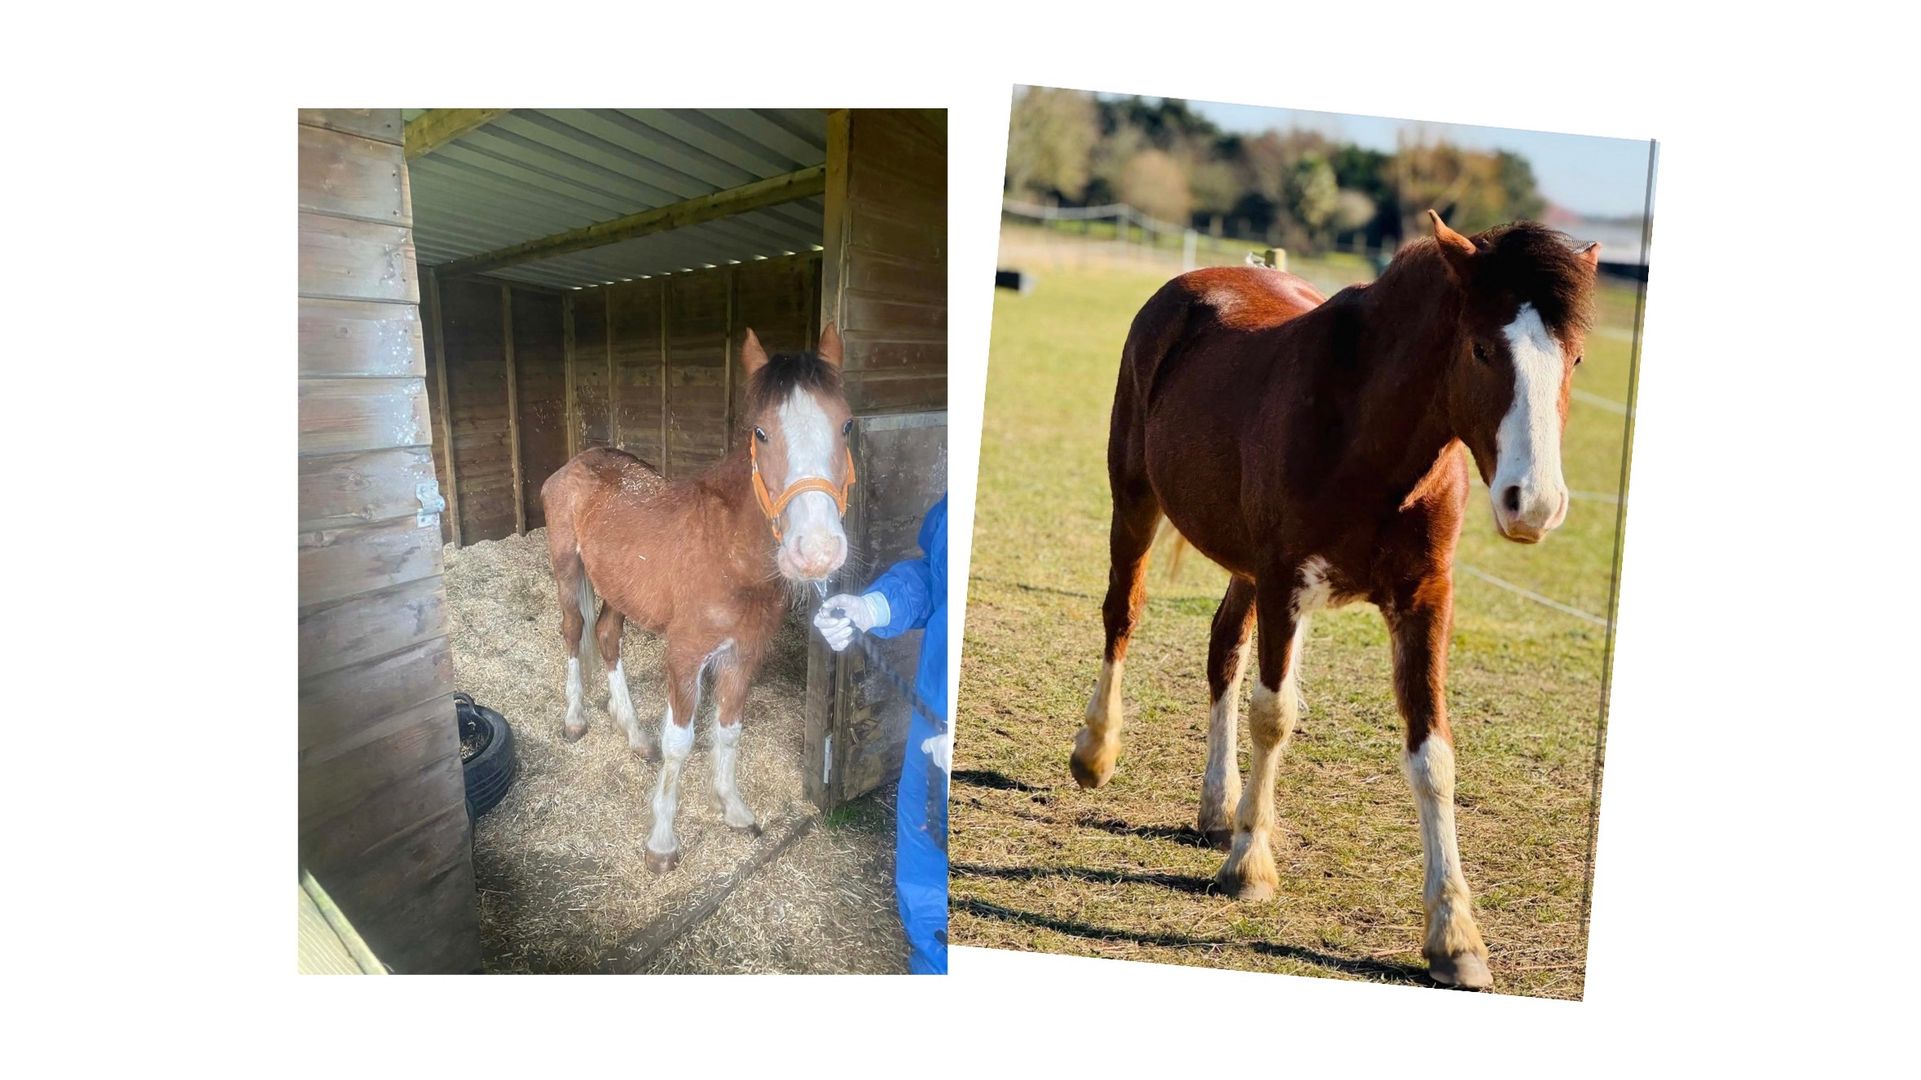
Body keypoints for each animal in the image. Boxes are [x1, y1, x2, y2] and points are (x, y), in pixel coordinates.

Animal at [540, 325, 856, 872]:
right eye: (761, 432)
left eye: (846, 427)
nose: (816, 551)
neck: (729, 555)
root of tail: (578, 461)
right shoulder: (686, 656)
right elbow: (681, 742)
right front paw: (662, 843)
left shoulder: (744, 654)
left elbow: (728, 731)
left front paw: (733, 809)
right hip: (567, 567)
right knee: (574, 631)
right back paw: (576, 719)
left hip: (619, 588)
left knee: (607, 636)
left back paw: (634, 734)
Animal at [1071, 212, 1599, 989]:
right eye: (1480, 348)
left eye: (1575, 358)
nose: (1532, 504)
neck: (1365, 434)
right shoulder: (1284, 580)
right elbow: (1274, 716)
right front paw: (1250, 867)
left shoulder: (1422, 600)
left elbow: (1431, 755)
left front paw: (1455, 937)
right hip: (1136, 501)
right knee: (1123, 614)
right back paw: (1097, 753)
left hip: (1244, 569)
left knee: (1222, 649)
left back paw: (1218, 807)